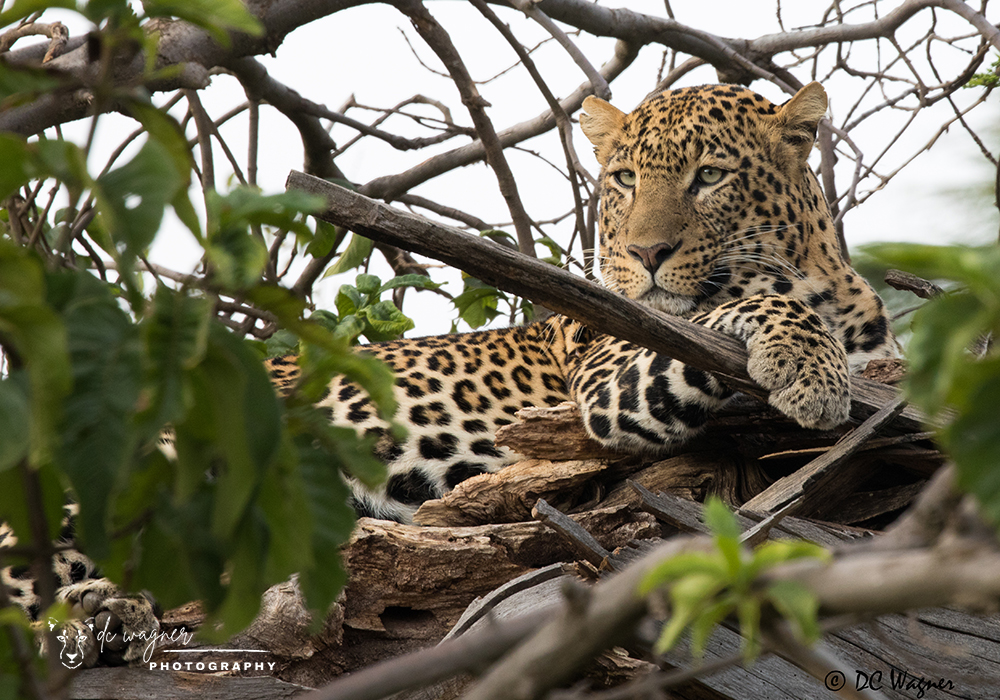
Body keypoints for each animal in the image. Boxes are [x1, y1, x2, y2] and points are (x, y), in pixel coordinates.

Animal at [2, 81, 897, 666]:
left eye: (709, 176)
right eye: (624, 180)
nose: (645, 254)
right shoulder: (615, 372)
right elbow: (733, 308)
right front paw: (808, 367)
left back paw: (112, 610)